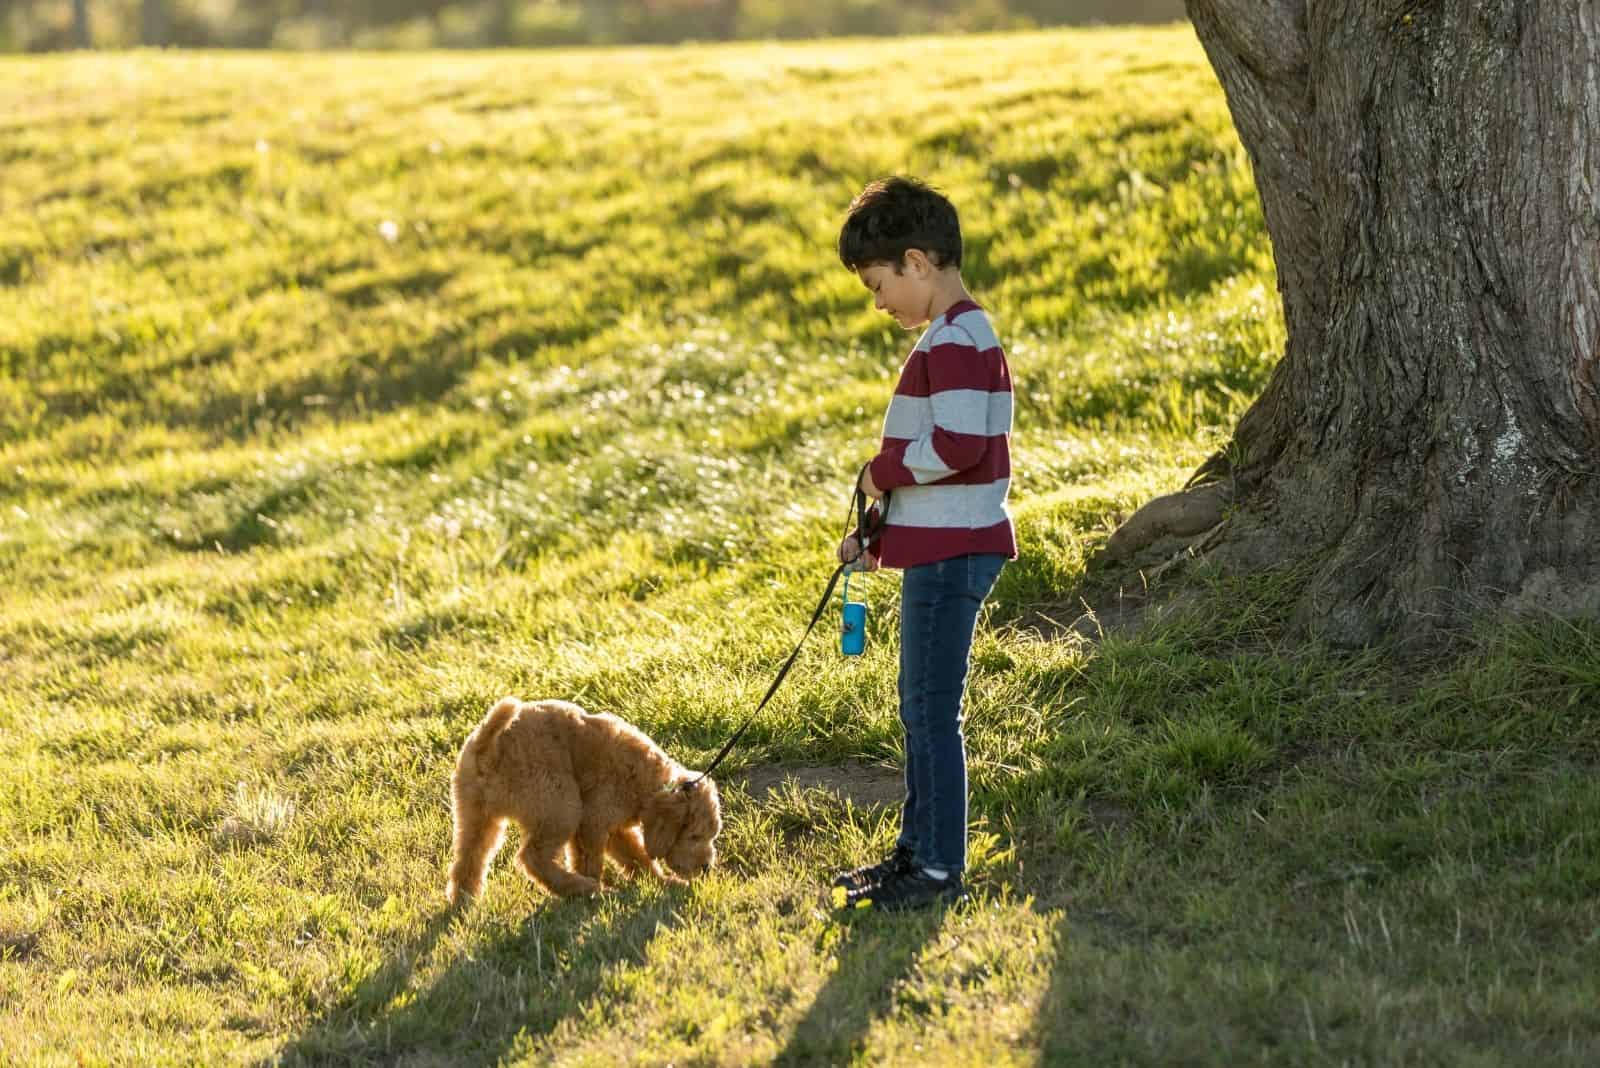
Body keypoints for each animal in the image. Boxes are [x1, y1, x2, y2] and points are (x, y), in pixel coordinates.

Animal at [451, 700, 726, 901]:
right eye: (694, 836)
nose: (706, 867)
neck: (645, 779)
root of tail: (488, 744)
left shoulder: (614, 828)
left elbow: (636, 856)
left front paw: (663, 882)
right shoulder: (593, 820)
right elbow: (590, 859)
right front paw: (595, 884)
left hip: (474, 811)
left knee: (469, 856)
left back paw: (464, 901)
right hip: (560, 802)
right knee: (533, 858)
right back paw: (589, 890)